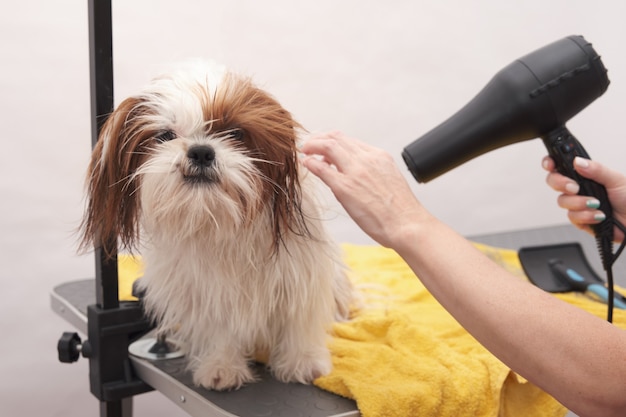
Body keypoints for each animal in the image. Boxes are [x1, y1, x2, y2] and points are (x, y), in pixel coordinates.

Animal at [79, 61, 352, 390]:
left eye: (235, 133)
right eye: (165, 135)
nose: (201, 151)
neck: (217, 219)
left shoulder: (300, 275)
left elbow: (300, 320)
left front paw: (303, 362)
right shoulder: (204, 293)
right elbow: (219, 328)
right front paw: (221, 366)